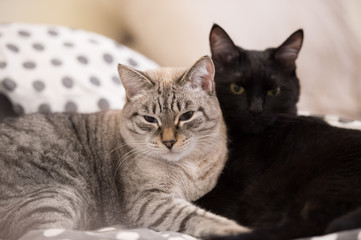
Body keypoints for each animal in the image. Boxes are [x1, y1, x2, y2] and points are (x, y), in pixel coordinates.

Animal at [0, 56, 248, 240]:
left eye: (186, 116)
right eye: (150, 119)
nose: (169, 142)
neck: (189, 165)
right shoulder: (148, 202)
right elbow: (196, 216)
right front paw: (238, 230)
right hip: (57, 197)